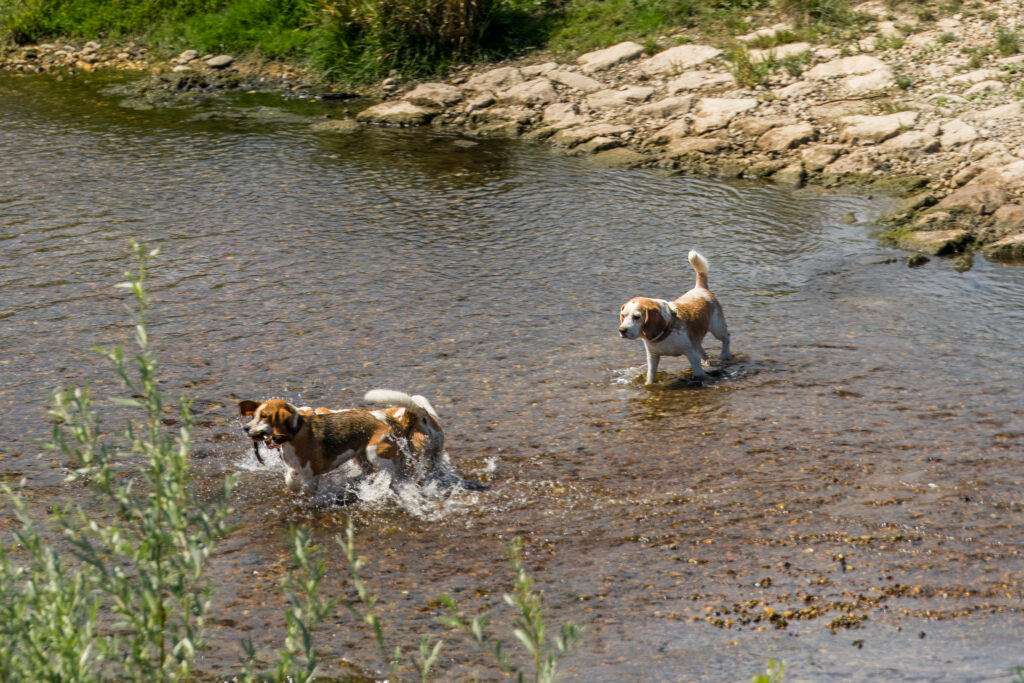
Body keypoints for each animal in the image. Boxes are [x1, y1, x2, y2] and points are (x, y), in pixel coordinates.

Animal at [241, 389, 450, 497]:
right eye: (254, 415)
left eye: (264, 416)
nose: (245, 428)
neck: (296, 432)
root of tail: (396, 421)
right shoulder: (294, 469)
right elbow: (290, 481)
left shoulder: (311, 476)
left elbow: (308, 492)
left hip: (376, 455)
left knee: (397, 476)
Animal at [618, 250, 733, 385]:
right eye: (623, 316)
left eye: (637, 317)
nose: (622, 330)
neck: (665, 331)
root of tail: (700, 288)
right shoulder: (653, 357)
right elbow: (650, 377)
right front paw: (648, 385)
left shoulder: (691, 354)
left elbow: (699, 374)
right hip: (698, 340)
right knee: (703, 351)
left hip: (717, 328)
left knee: (726, 338)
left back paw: (725, 355)